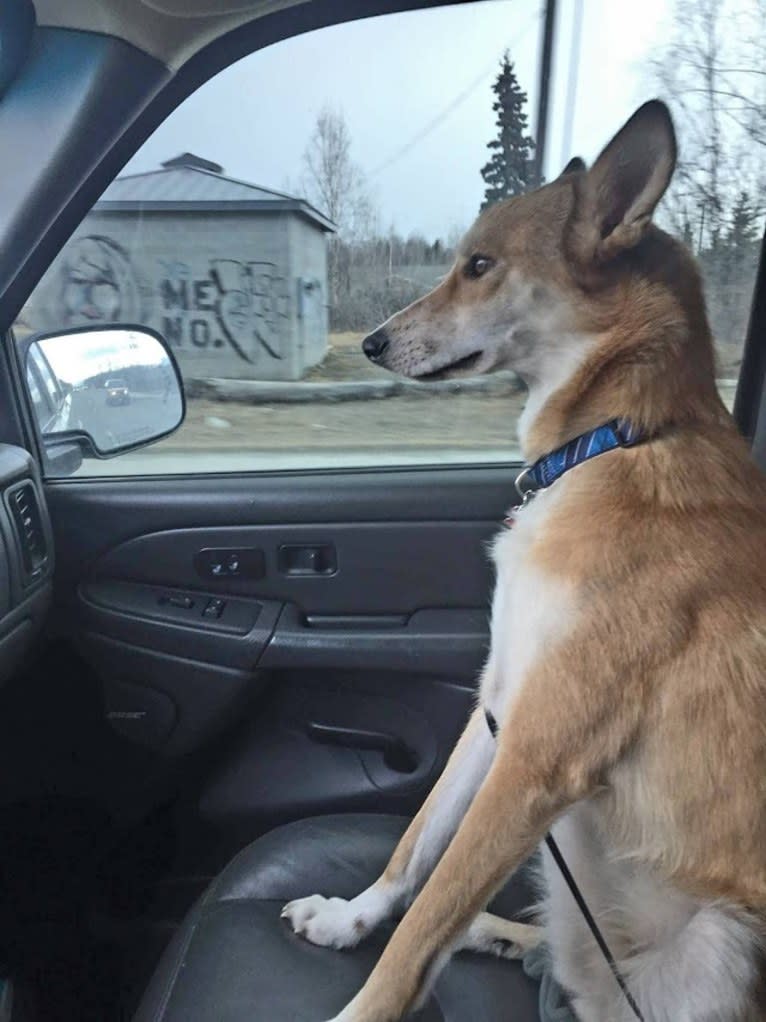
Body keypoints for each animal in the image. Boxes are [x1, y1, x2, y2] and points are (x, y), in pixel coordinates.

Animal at [279, 99, 766, 1017]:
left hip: (721, 941)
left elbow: (423, 920)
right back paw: (498, 935)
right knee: (567, 963)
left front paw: (363, 1002)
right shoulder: (498, 703)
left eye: (479, 265)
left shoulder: (538, 756)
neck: (612, 442)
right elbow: (415, 852)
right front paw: (350, 917)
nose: (369, 345)